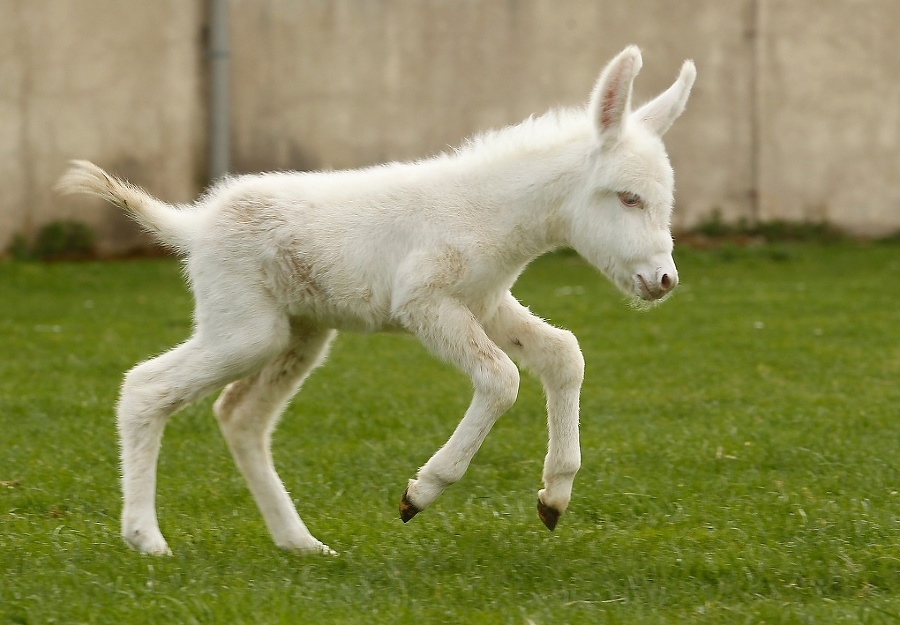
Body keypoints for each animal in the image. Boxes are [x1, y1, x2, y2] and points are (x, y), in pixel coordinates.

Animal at [58, 48, 696, 556]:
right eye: (629, 197)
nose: (664, 280)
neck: (490, 214)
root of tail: (193, 226)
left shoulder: (486, 300)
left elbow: (564, 354)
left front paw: (554, 498)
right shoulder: (424, 301)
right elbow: (501, 377)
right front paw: (419, 494)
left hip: (301, 333)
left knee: (241, 416)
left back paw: (300, 543)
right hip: (245, 326)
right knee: (146, 387)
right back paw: (147, 539)